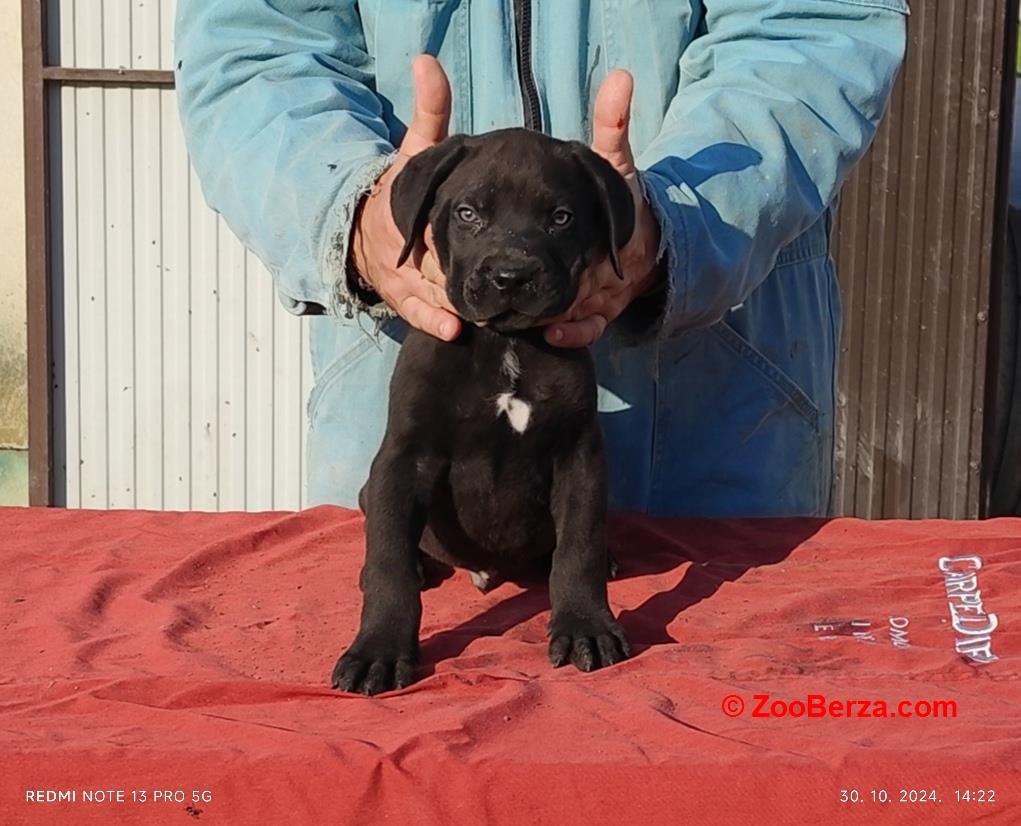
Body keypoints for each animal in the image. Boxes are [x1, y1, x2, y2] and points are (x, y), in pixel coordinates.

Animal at [334, 127, 633, 694]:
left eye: (561, 217)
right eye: (468, 213)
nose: (510, 276)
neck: (506, 344)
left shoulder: (579, 456)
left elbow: (578, 548)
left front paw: (585, 625)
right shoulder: (404, 458)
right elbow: (389, 564)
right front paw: (377, 649)